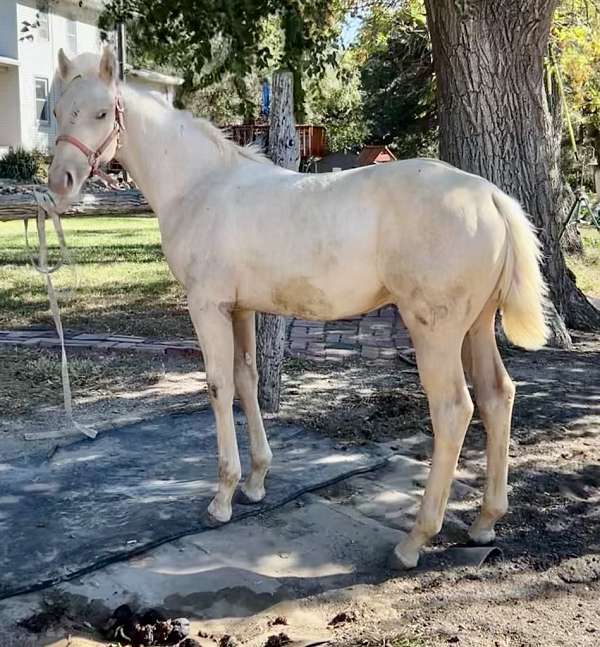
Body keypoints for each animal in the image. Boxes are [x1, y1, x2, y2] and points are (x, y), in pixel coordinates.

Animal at [49, 48, 548, 568]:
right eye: (58, 111)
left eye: (101, 113)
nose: (59, 182)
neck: (200, 184)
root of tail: (488, 195)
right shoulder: (239, 309)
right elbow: (246, 379)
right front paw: (255, 481)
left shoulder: (207, 306)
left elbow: (219, 386)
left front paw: (222, 497)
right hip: (476, 327)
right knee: (497, 396)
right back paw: (485, 523)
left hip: (435, 331)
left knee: (453, 409)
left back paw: (414, 540)